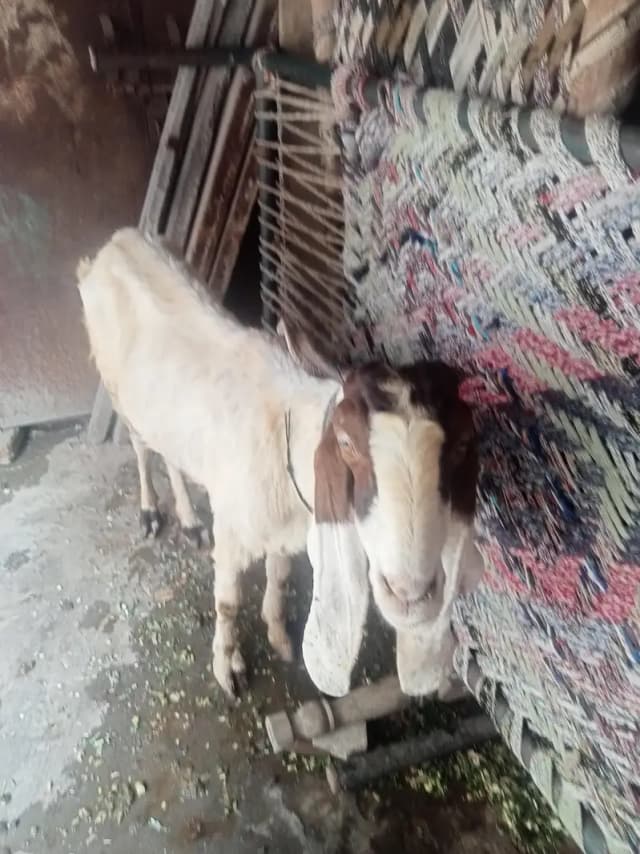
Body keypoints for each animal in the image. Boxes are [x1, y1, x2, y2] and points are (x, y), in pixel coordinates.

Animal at [77, 228, 484, 699]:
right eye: (345, 441)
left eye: (463, 445)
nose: (411, 595)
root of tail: (116, 243)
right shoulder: (233, 529)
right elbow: (228, 602)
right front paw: (228, 668)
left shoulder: (282, 530)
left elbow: (280, 573)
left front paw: (277, 633)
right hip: (117, 389)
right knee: (142, 448)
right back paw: (151, 512)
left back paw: (190, 520)